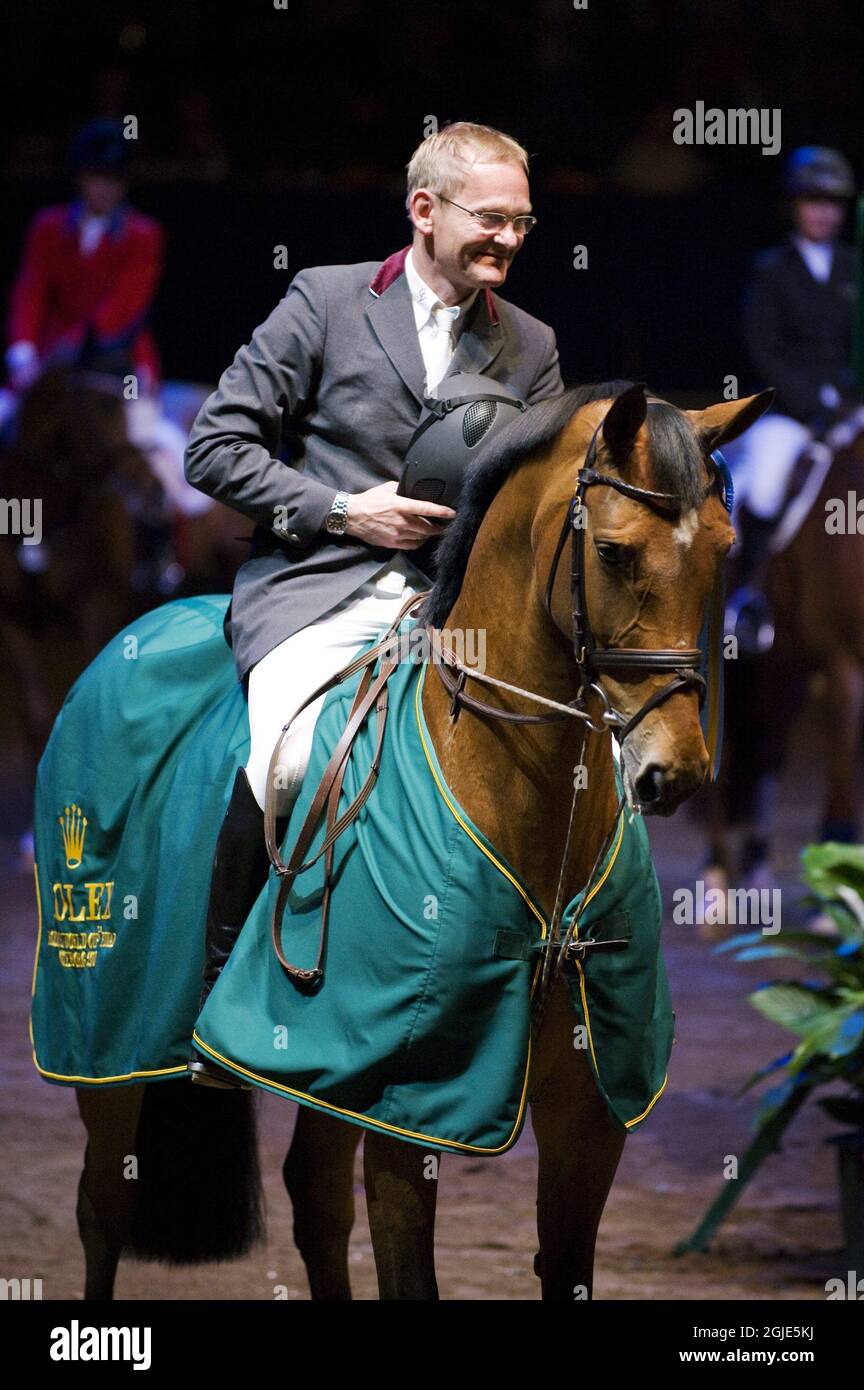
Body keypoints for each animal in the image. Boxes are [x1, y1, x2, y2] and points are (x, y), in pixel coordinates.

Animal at [69, 378, 772, 1289]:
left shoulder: (588, 1115)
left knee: (315, 1199)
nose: (674, 771)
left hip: (329, 1071)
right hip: (106, 1046)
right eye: (614, 554)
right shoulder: (413, 1112)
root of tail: (133, 632)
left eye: (723, 547)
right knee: (104, 1208)